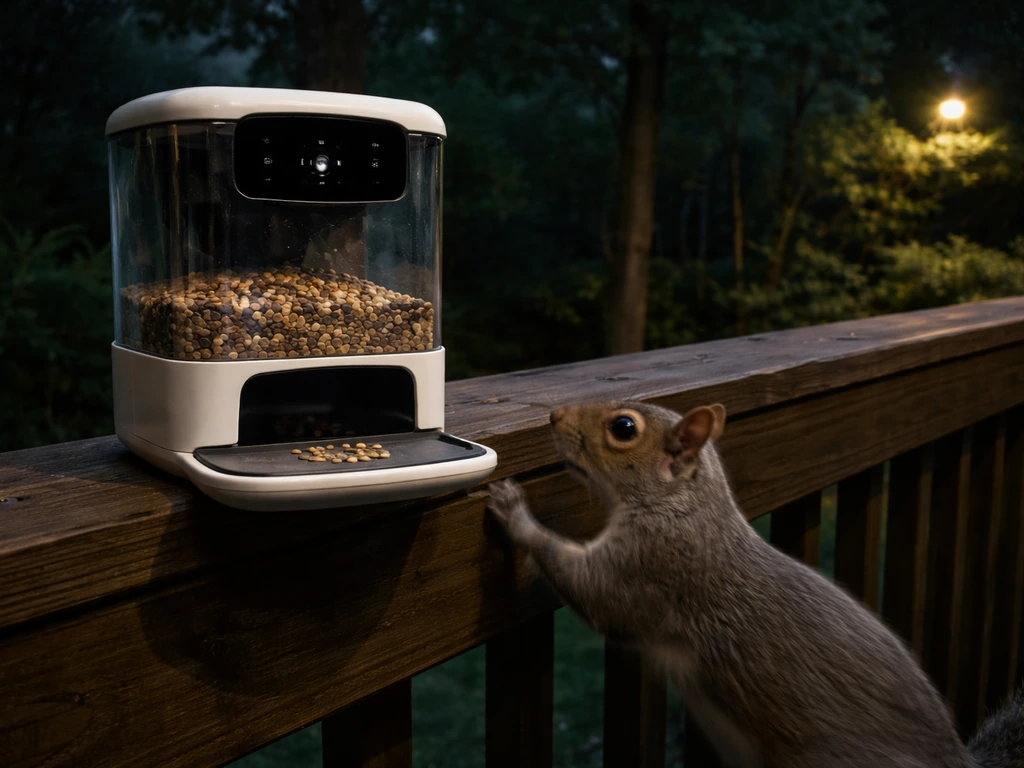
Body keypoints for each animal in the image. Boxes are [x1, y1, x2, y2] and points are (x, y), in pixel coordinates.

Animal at [487, 400, 1024, 768]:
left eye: (624, 428)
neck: (684, 507)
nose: (554, 415)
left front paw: (516, 513)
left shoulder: (654, 566)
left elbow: (596, 594)